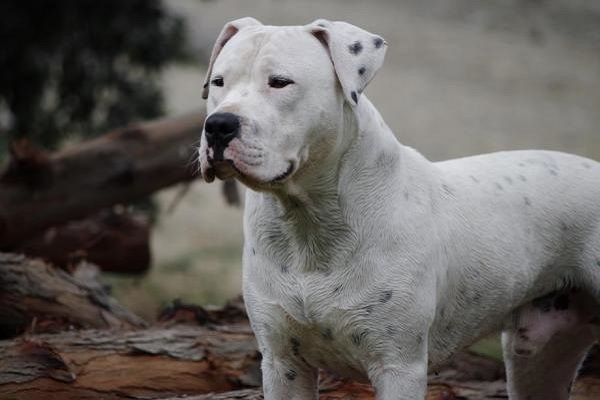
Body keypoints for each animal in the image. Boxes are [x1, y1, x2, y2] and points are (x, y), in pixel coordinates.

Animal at [200, 17, 600, 398]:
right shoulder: (284, 364)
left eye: (280, 82)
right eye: (218, 81)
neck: (308, 223)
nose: (218, 125)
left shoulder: (398, 366)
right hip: (540, 359)